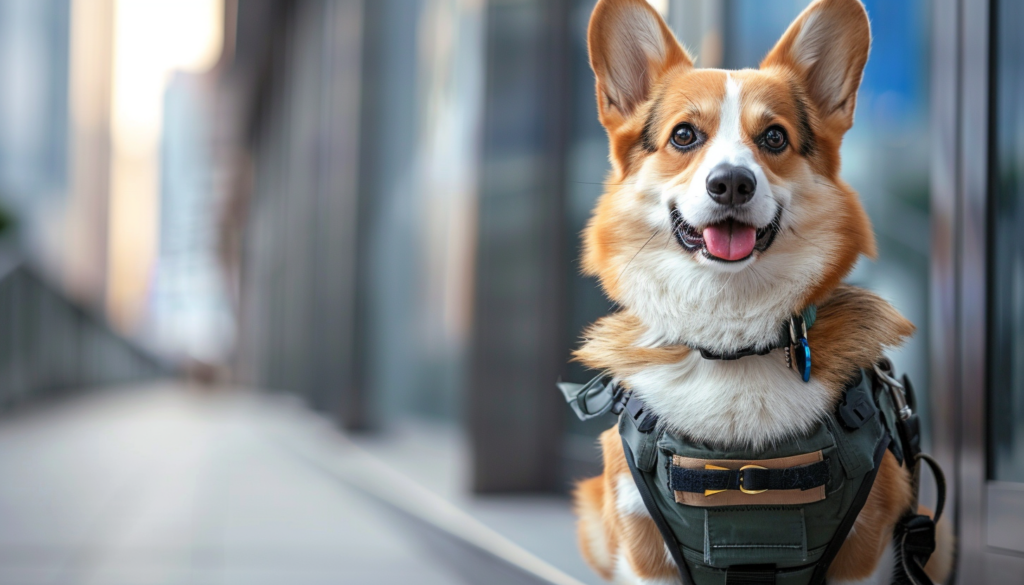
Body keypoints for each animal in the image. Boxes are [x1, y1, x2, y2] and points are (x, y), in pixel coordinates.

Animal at [573, 0, 954, 581]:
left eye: (773, 138)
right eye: (684, 136)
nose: (732, 182)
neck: (733, 345)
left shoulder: (863, 553)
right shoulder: (644, 552)